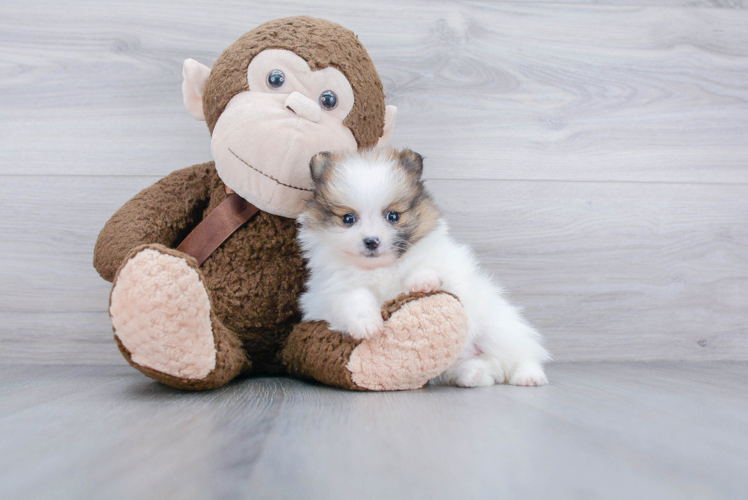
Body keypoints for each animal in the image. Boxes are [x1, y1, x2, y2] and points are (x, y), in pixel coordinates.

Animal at [298, 147, 548, 386]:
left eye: (393, 216)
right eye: (348, 219)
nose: (371, 241)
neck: (380, 269)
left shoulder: (445, 265)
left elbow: (426, 266)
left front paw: (423, 282)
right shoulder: (329, 291)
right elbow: (352, 299)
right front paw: (367, 325)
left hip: (497, 328)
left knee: (520, 355)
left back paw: (528, 376)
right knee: (484, 368)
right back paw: (473, 374)